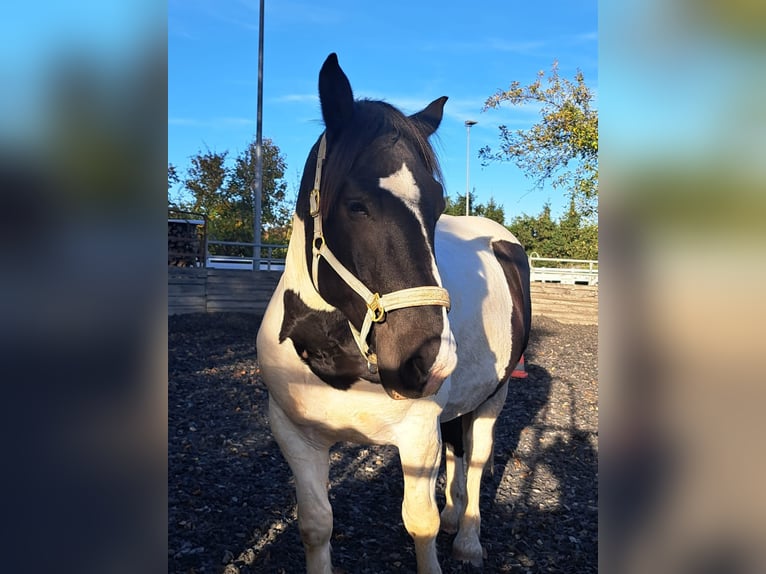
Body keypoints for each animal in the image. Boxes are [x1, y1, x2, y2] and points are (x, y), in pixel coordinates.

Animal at [256, 53, 531, 574]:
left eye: (438, 205)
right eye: (356, 204)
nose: (427, 361)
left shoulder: (418, 435)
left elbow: (420, 524)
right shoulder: (296, 437)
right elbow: (316, 525)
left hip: (494, 396)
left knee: (477, 460)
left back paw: (468, 540)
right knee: (458, 451)